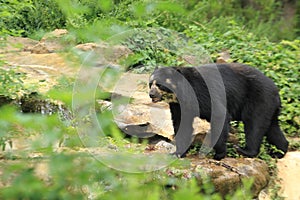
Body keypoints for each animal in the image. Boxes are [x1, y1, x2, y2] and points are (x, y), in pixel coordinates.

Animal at [149, 63, 290, 160]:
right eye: (150, 84)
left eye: (159, 85)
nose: (151, 94)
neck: (181, 94)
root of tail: (276, 91)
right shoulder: (179, 105)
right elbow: (182, 124)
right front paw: (177, 153)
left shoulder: (204, 93)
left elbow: (219, 115)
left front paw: (219, 154)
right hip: (269, 106)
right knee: (272, 128)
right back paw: (279, 152)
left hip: (259, 99)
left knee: (254, 125)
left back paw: (245, 150)